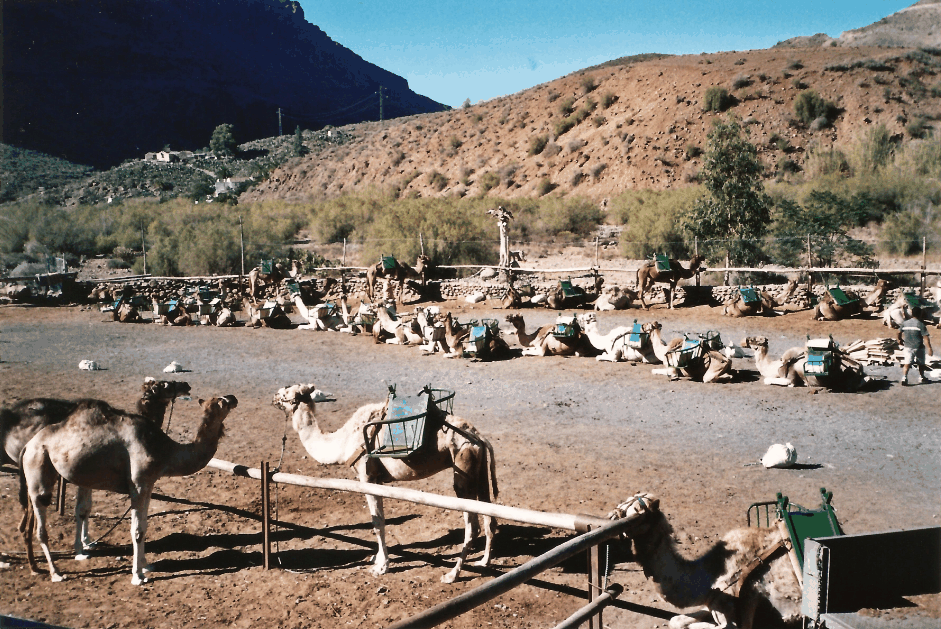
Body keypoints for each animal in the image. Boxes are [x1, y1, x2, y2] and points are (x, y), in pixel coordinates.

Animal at [22, 392, 235, 584]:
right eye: (222, 401)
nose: (234, 398)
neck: (165, 450)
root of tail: (28, 445)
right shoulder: (139, 483)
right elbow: (137, 530)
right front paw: (138, 575)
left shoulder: (149, 484)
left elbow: (144, 526)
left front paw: (146, 564)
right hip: (38, 463)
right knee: (41, 520)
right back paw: (56, 573)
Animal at [270, 382, 500, 584]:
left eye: (287, 393)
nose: (273, 397)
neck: (343, 442)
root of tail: (479, 437)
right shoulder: (378, 480)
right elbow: (378, 521)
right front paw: (378, 559)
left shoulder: (367, 476)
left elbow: (377, 522)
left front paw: (382, 567)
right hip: (479, 469)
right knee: (490, 516)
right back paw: (483, 562)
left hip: (463, 466)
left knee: (472, 526)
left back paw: (452, 575)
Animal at [608, 494, 800, 628]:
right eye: (624, 502)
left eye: (636, 513)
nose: (610, 516)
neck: (712, 574)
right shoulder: (711, 601)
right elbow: (676, 620)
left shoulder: (734, 609)